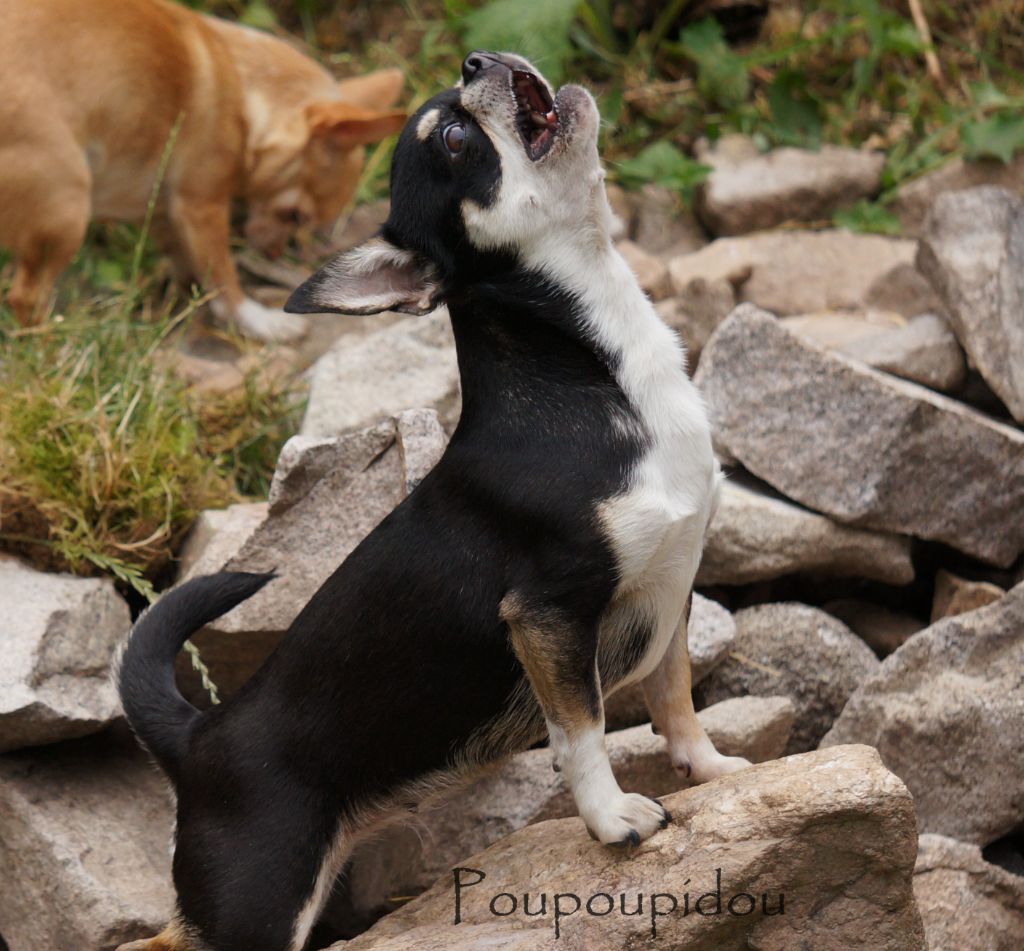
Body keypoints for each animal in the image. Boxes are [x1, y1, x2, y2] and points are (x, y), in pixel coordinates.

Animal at [0, 0, 407, 341]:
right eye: (294, 216)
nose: (275, 253)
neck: (243, 87)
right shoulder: (201, 207)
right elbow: (224, 276)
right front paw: (259, 321)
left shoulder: (164, 213)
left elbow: (189, 264)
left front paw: (185, 301)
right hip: (68, 207)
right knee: (26, 296)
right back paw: (53, 345)